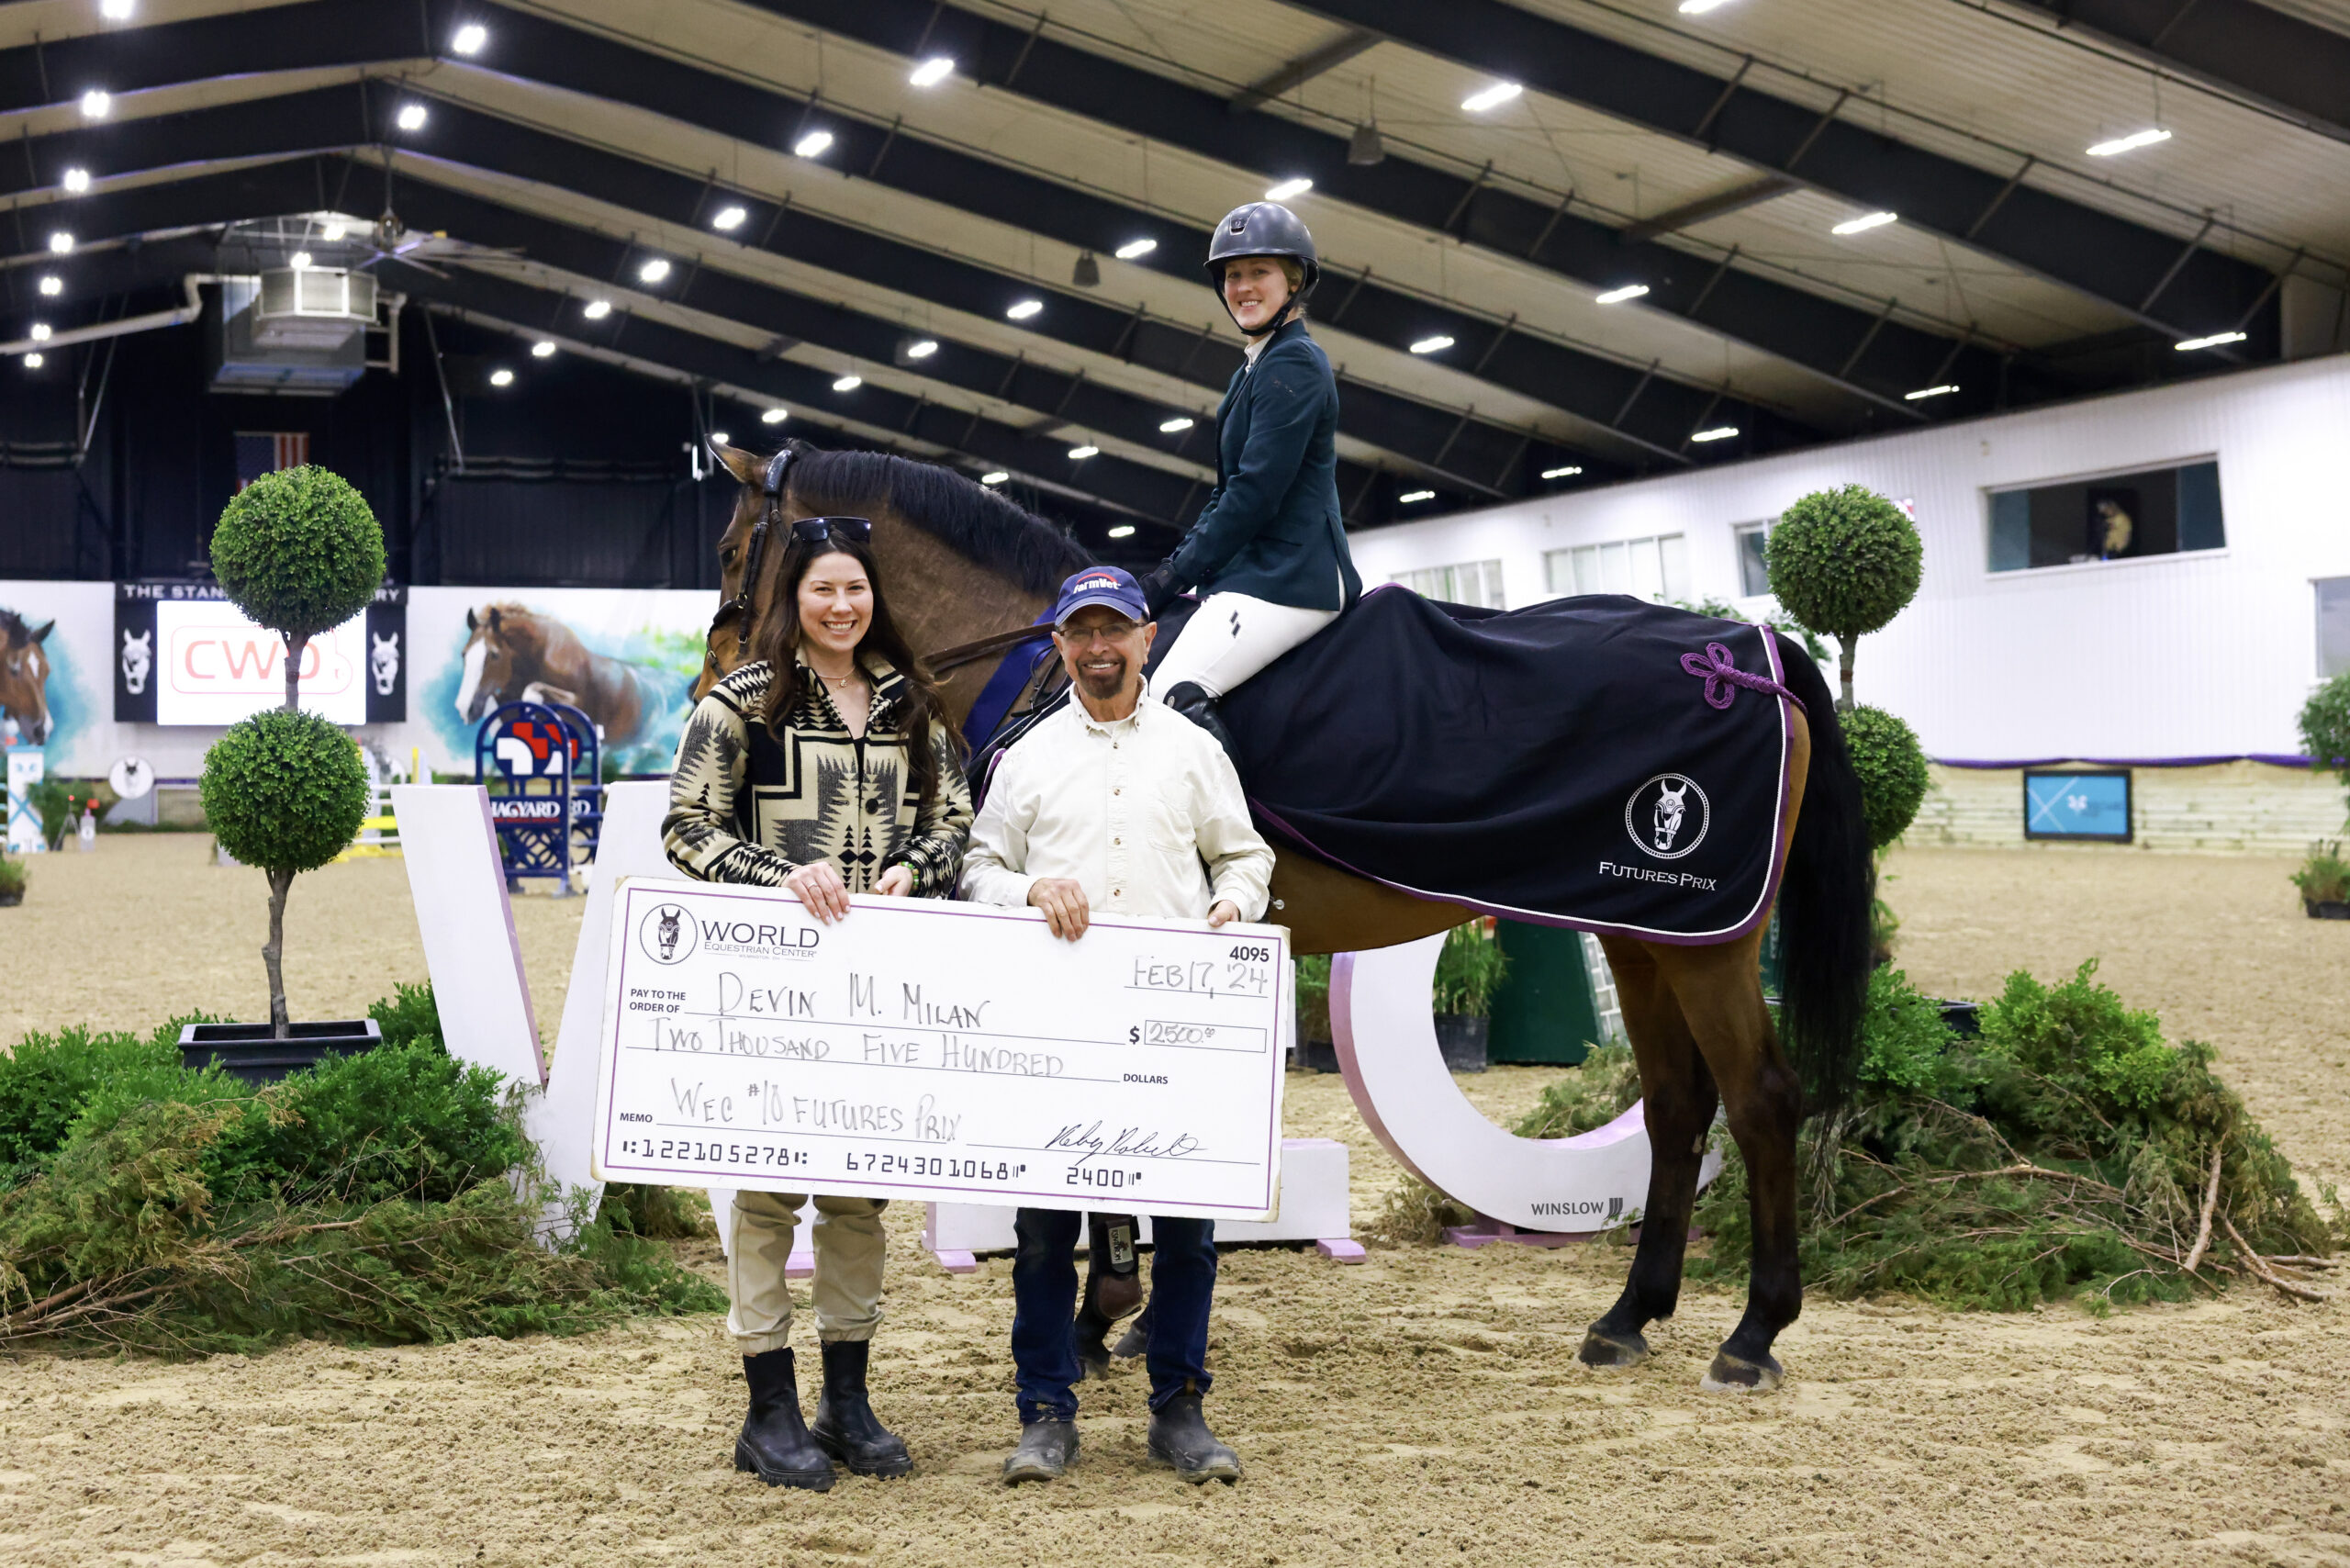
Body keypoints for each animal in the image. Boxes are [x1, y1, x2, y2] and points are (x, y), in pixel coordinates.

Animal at [697, 439, 1872, 1394]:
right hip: (1644, 933)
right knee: (1676, 1106)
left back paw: (1752, 1334)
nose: (721, 692)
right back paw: (1628, 1318)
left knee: (1759, 1099)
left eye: (729, 550)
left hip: (1712, 941)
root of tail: (1748, 654)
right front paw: (1126, 1317)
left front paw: (1103, 1318)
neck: (1044, 668)